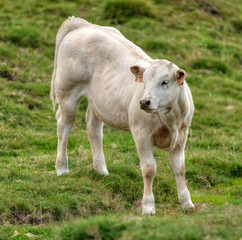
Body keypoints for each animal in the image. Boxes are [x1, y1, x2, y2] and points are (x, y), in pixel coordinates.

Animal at [50, 17, 195, 216]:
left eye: (165, 81)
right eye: (144, 82)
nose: (144, 102)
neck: (170, 120)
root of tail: (85, 25)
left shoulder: (182, 135)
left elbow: (180, 168)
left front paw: (187, 202)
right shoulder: (141, 133)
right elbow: (149, 169)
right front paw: (148, 206)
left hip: (98, 101)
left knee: (93, 128)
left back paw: (101, 169)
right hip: (67, 94)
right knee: (64, 126)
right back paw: (62, 168)